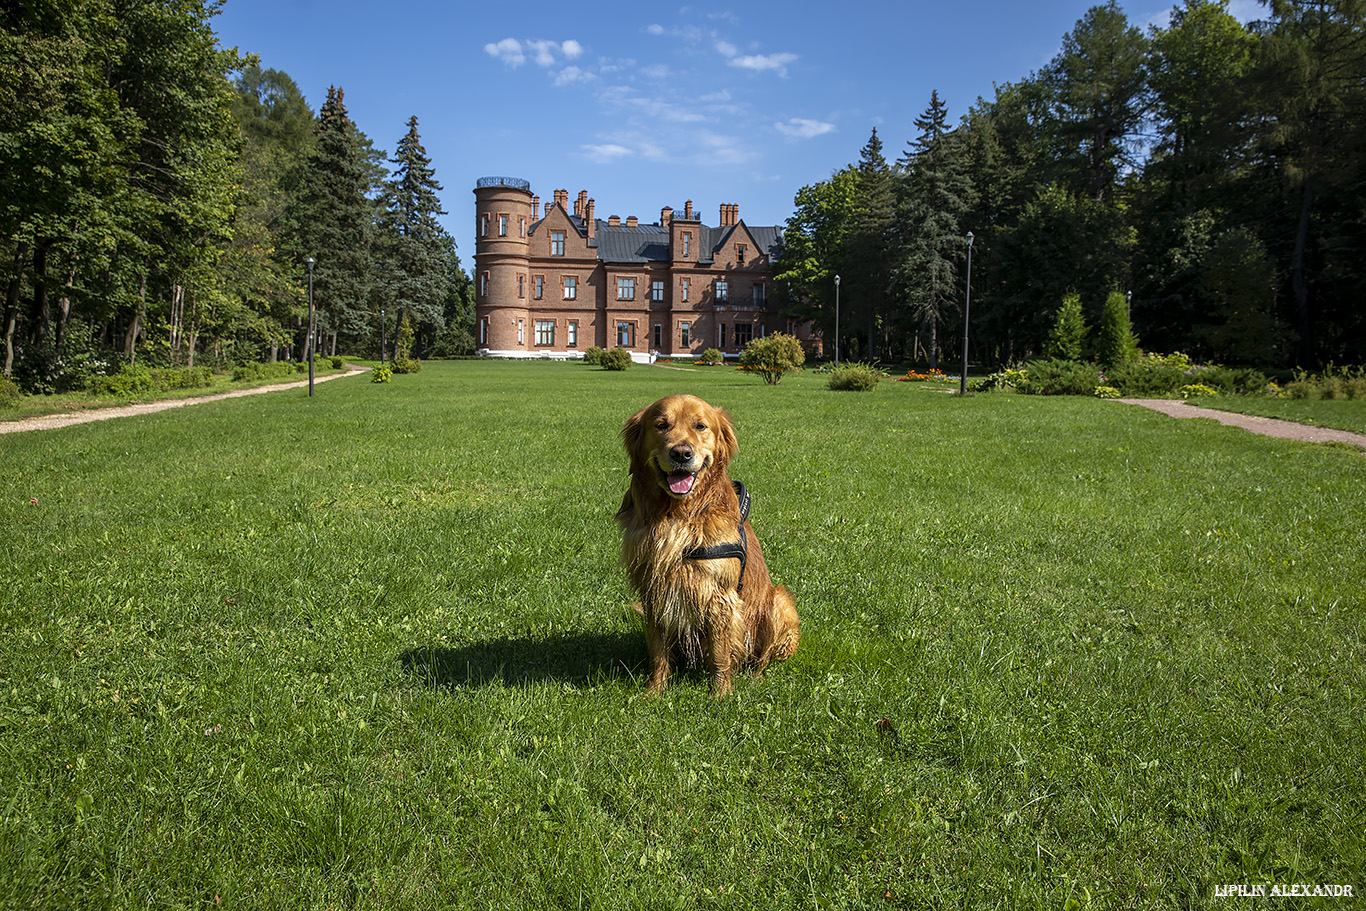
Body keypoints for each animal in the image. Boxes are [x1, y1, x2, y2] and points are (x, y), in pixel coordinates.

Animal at [614, 393, 797, 699]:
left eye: (700, 426)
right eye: (661, 425)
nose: (681, 453)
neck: (677, 514)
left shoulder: (719, 596)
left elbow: (721, 655)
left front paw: (721, 695)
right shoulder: (655, 589)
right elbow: (658, 652)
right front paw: (655, 691)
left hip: (780, 602)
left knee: (762, 658)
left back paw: (755, 679)